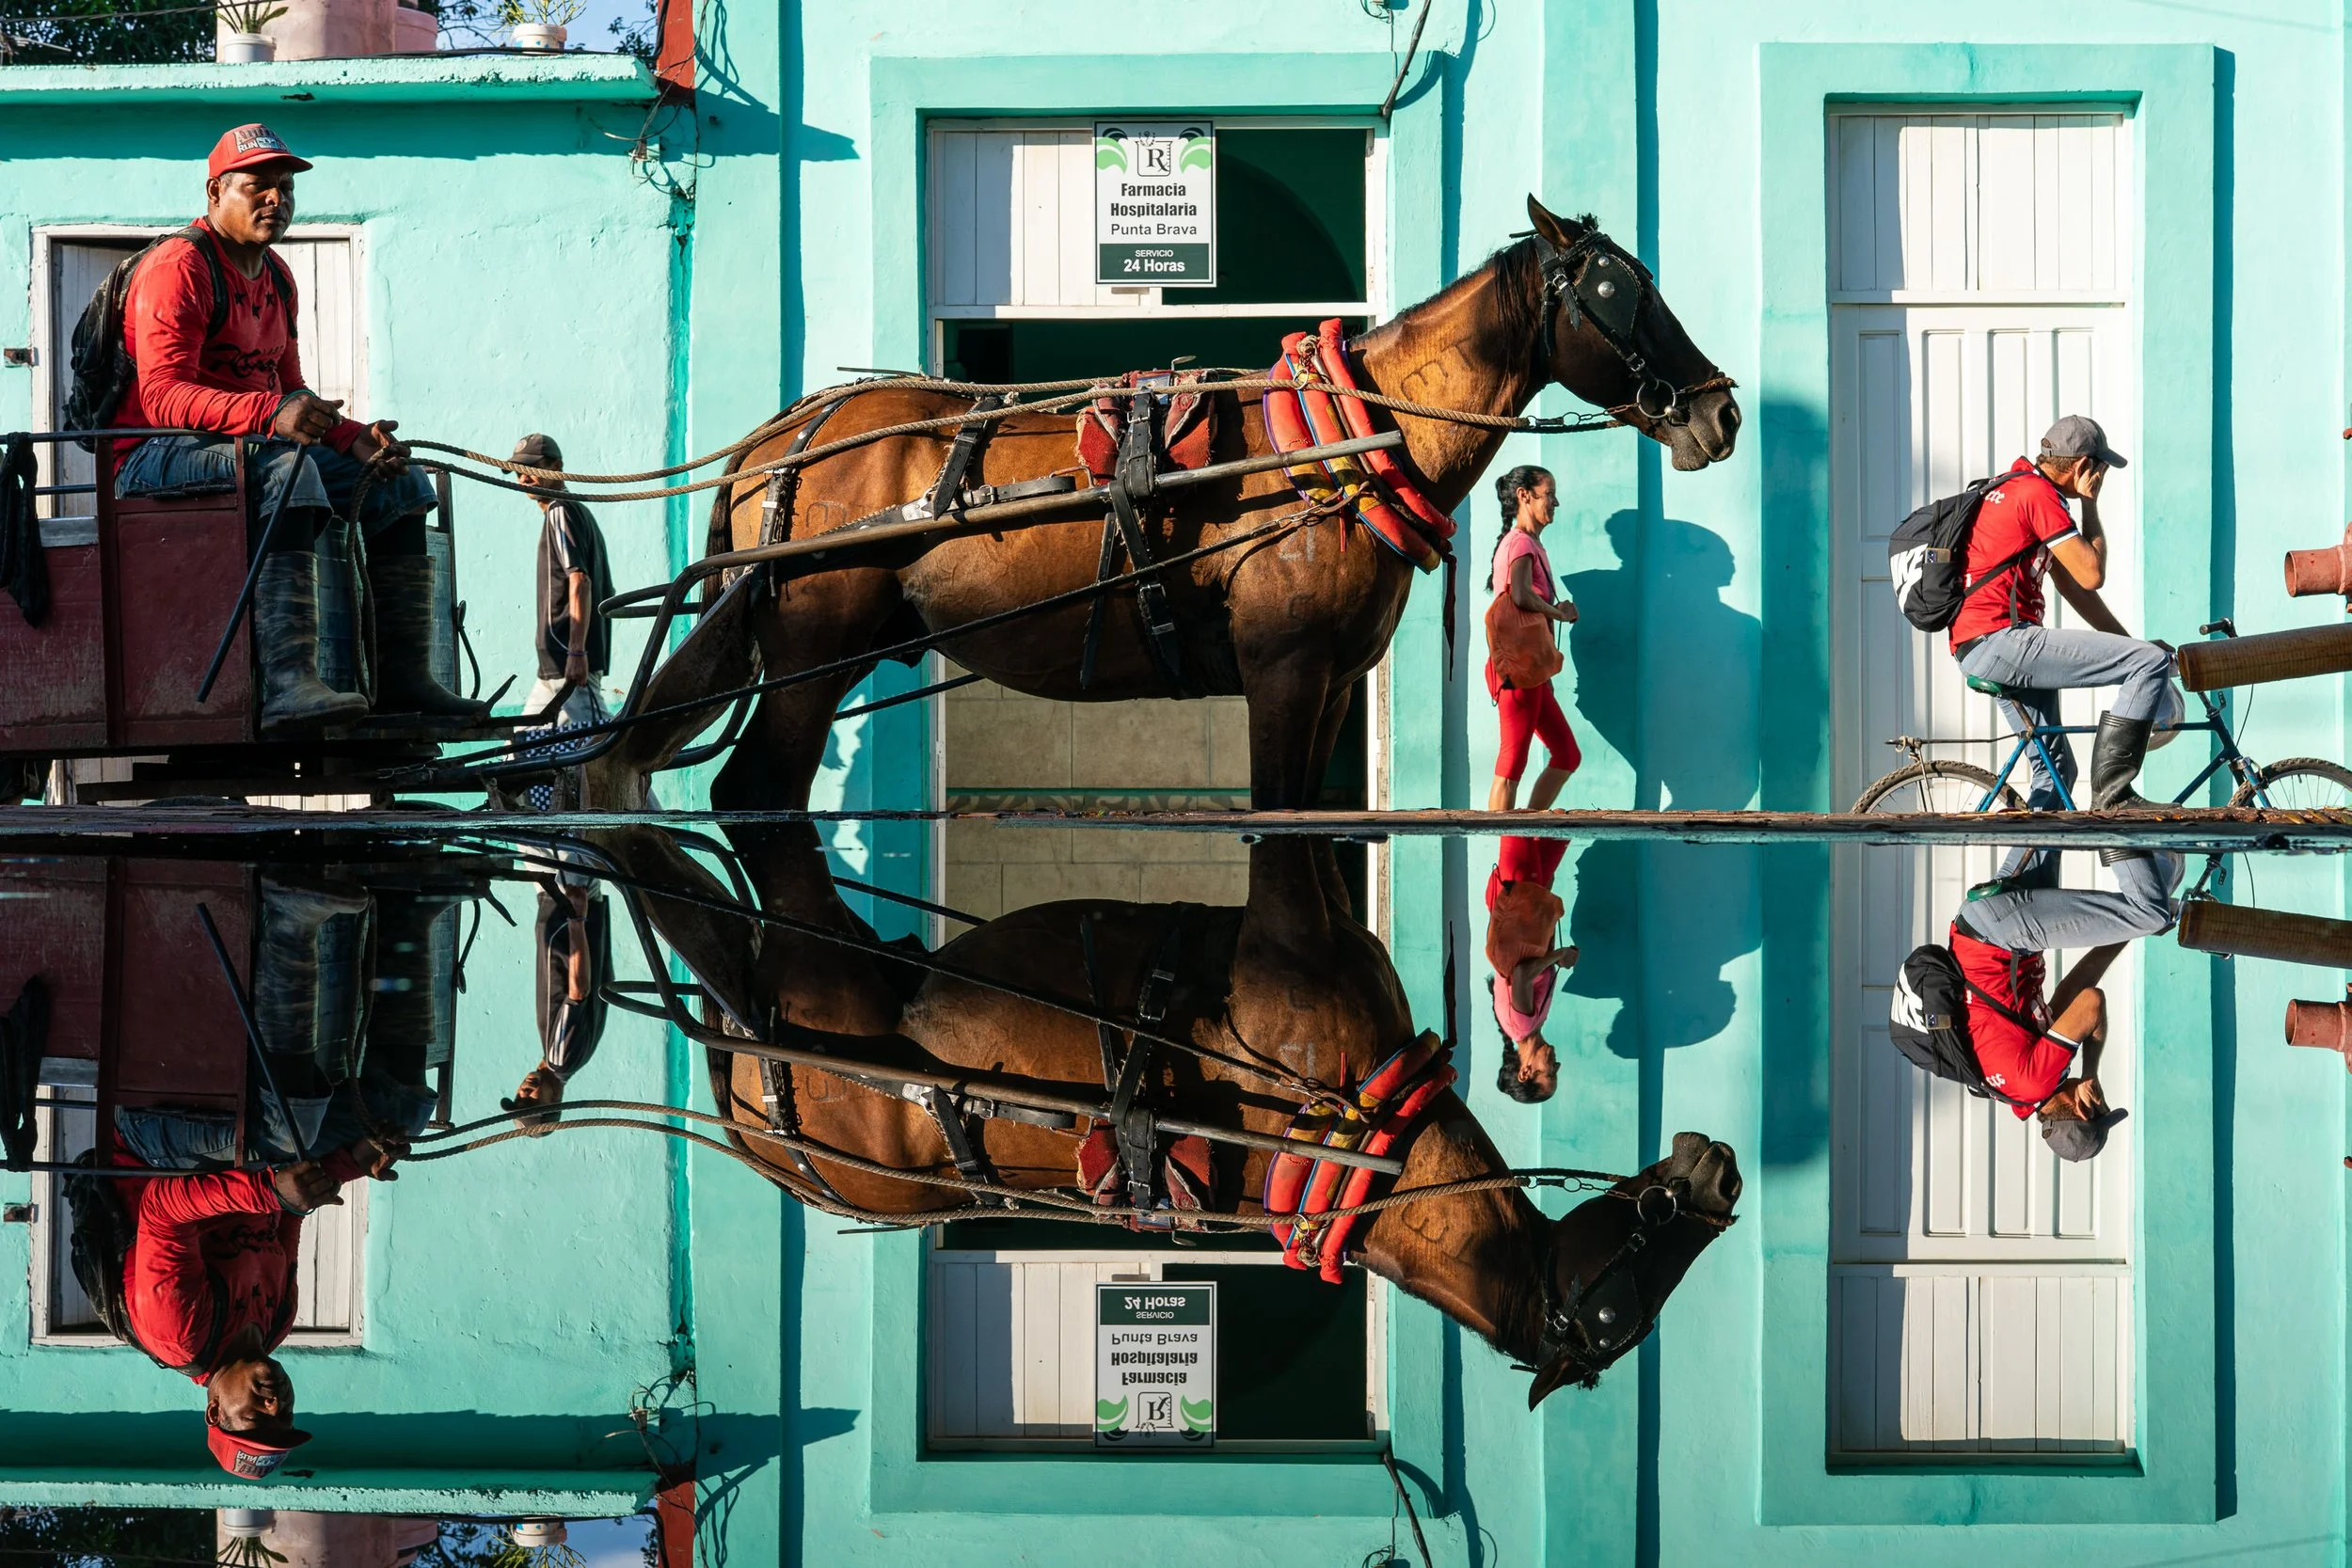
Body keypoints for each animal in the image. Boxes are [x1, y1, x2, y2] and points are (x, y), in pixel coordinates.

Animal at [588, 198, 1738, 811]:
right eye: (1617, 292)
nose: (1719, 410)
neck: (1347, 440)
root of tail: (779, 439)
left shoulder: (1330, 684)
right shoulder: (1285, 670)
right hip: (810, 652)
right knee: (752, 792)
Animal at [594, 824, 1742, 1405]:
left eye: (1614, 1325)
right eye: (1624, 1298)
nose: (1720, 1172)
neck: (1369, 1153)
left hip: (810, 1003)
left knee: (700, 905)